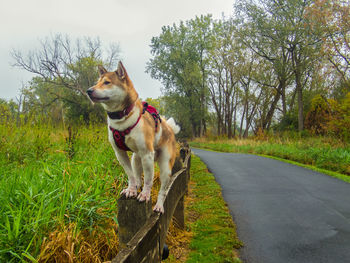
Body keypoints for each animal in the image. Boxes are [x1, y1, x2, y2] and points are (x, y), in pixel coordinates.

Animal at [86, 62, 180, 214]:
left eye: (107, 82)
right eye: (97, 82)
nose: (88, 91)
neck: (123, 117)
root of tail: (170, 129)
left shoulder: (147, 154)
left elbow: (148, 180)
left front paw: (145, 195)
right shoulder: (120, 153)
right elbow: (130, 175)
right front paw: (131, 190)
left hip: (165, 167)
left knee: (163, 191)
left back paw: (159, 205)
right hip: (136, 158)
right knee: (137, 176)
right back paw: (135, 187)